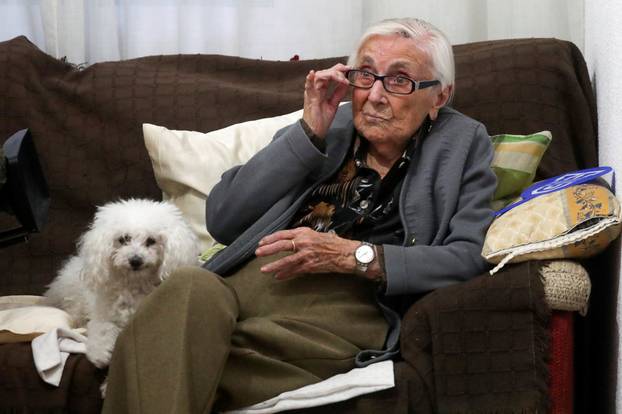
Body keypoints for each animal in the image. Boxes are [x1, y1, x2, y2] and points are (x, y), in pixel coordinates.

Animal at [44, 197, 200, 368]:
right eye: (124, 239)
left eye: (151, 241)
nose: (135, 260)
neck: (134, 284)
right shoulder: (103, 314)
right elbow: (101, 328)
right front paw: (100, 354)